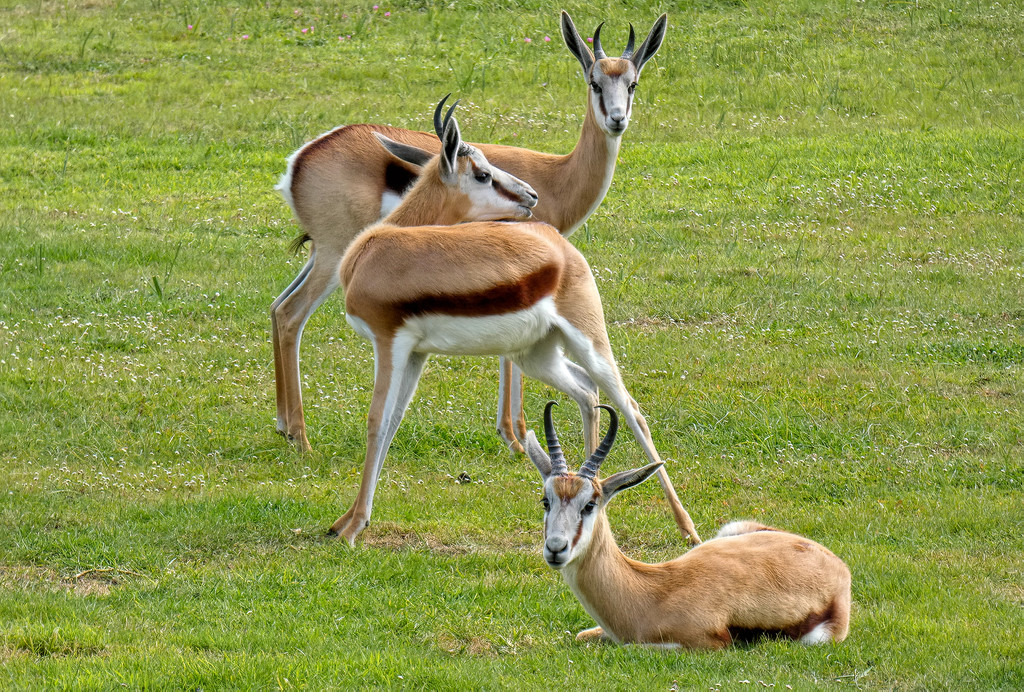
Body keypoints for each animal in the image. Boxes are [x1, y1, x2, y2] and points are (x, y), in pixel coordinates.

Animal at [274, 12, 671, 454]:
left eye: (632, 83)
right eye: (594, 82)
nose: (617, 119)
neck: (556, 177)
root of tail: (301, 158)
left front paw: (513, 435)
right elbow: (510, 357)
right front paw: (515, 438)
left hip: (319, 256)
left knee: (276, 308)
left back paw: (284, 427)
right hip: (333, 255)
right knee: (291, 315)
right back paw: (302, 438)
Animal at [331, 103, 700, 544]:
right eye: (483, 173)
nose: (531, 195)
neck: (374, 248)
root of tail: (557, 242)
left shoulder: (388, 343)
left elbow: (375, 422)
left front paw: (353, 527)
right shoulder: (415, 353)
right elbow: (392, 422)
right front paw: (345, 521)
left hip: (588, 340)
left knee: (631, 409)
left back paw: (688, 528)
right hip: (536, 355)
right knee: (585, 390)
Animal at [524, 403, 851, 651]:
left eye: (589, 505)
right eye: (545, 501)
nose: (556, 548)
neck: (650, 595)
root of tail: (836, 564)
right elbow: (581, 635)